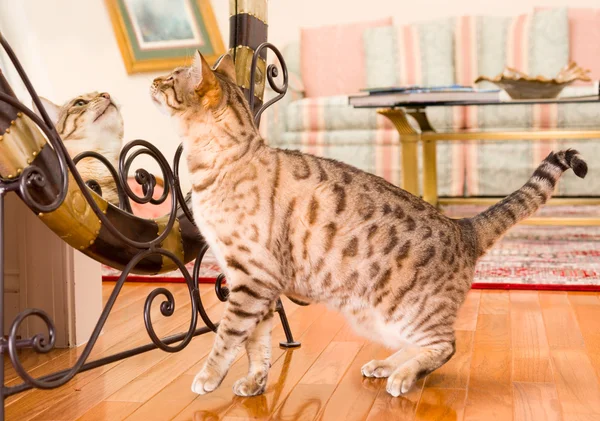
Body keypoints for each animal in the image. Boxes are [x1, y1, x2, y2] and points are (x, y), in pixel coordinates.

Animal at [149, 50, 584, 396]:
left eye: (170, 78)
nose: (152, 81)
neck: (218, 160)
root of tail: (463, 226)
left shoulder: (252, 277)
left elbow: (228, 335)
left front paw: (208, 377)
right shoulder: (254, 282)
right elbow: (258, 343)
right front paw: (255, 383)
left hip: (404, 309)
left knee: (447, 345)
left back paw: (402, 377)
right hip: (377, 318)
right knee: (423, 345)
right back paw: (387, 365)